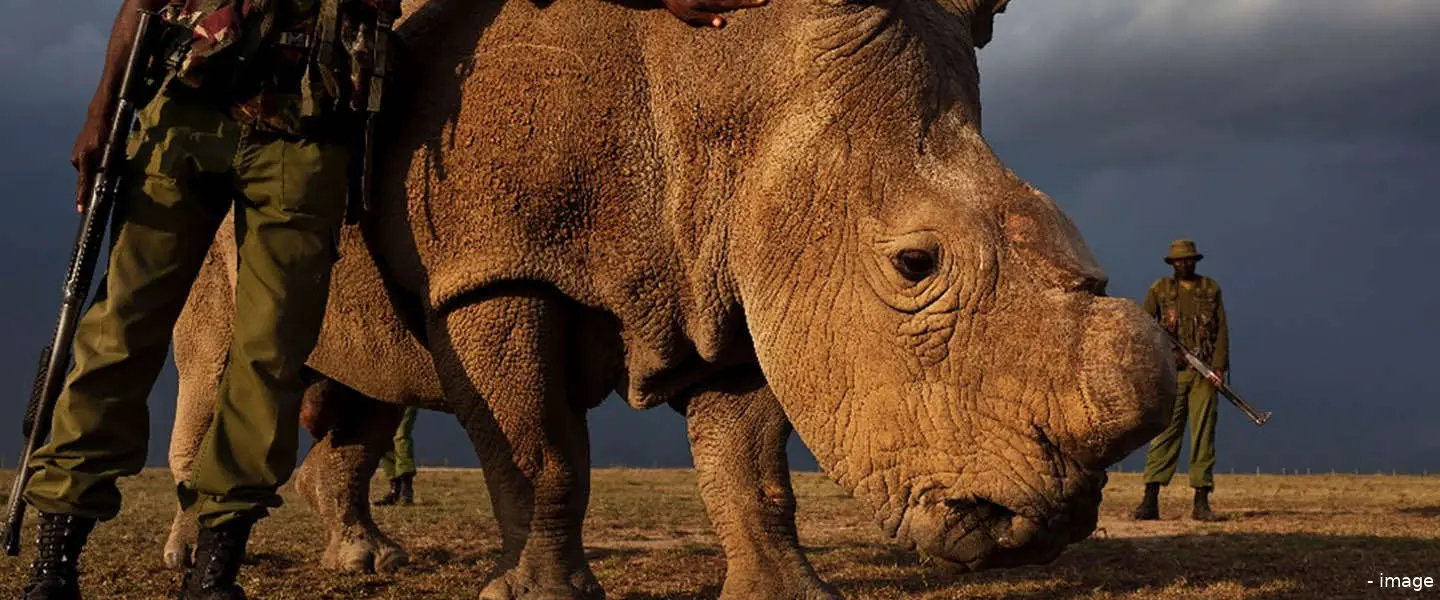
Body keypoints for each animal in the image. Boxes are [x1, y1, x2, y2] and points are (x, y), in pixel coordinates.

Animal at [162, 0, 1173, 597]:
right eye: (914, 265)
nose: (1039, 532)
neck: (725, 87)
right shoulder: (499, 266)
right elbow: (542, 451)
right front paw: (545, 598)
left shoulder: (733, 281)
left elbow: (750, 465)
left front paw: (788, 595)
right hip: (218, 193)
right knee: (218, 362)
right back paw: (188, 555)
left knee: (371, 387)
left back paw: (367, 560)